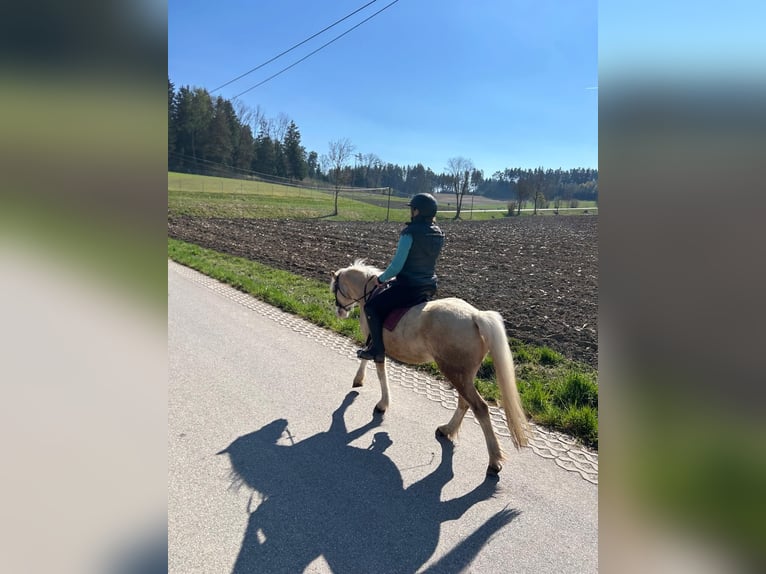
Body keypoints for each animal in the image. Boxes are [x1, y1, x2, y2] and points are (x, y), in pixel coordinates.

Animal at [331, 259, 530, 475]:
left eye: (335, 288)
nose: (339, 312)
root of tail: (475, 316)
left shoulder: (376, 345)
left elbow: (377, 369)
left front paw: (379, 402)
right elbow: (368, 361)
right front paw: (361, 383)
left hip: (454, 372)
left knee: (479, 407)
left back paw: (493, 460)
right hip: (464, 375)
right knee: (465, 403)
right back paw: (447, 430)